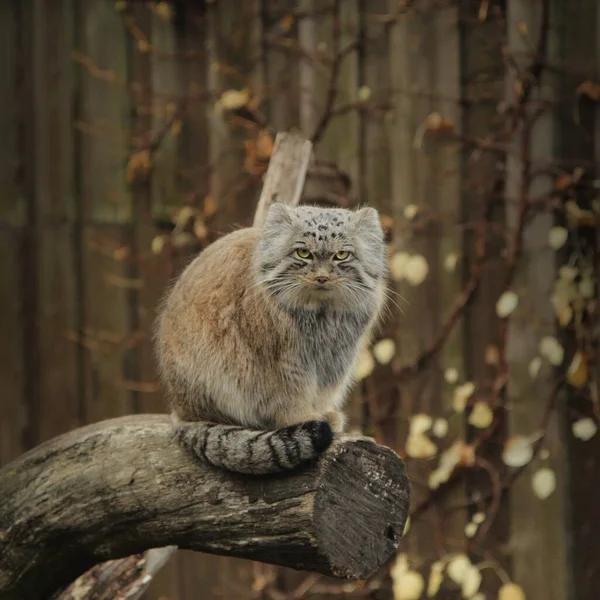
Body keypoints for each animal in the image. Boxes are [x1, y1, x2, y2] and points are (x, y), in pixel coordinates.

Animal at [155, 202, 386, 474]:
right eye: (303, 253)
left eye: (341, 255)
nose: (321, 277)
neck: (322, 315)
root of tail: (180, 410)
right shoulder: (281, 365)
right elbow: (290, 397)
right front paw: (304, 418)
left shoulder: (334, 360)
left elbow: (321, 392)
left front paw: (323, 412)